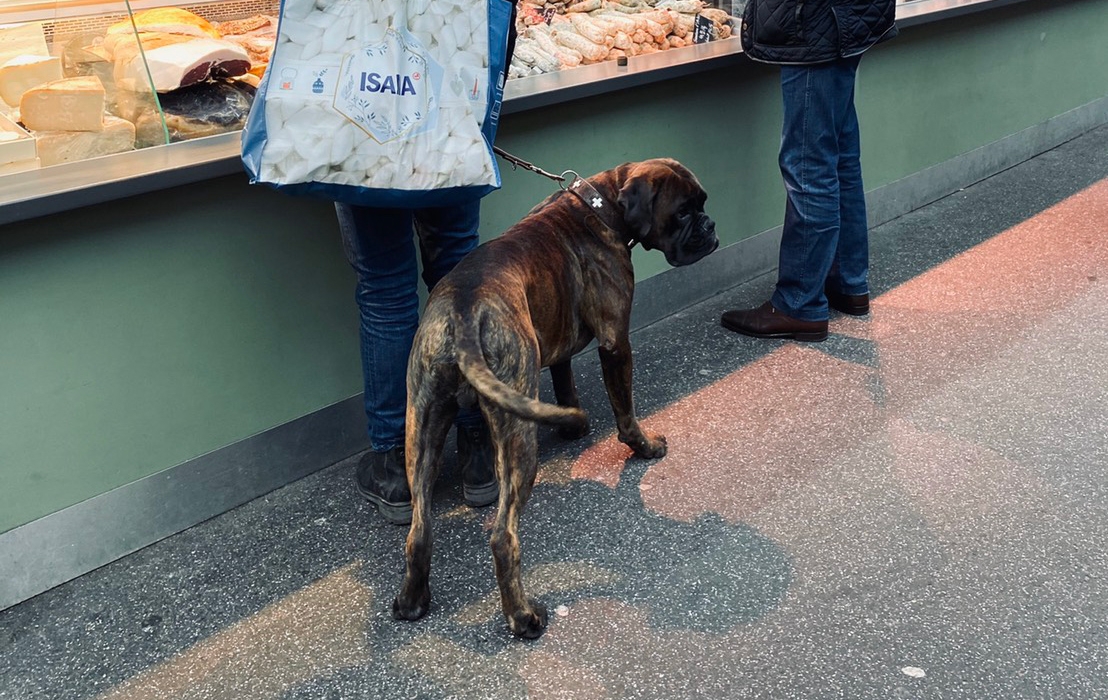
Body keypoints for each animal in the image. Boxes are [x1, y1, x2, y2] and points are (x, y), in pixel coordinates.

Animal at [392, 158, 717, 637]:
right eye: (682, 212)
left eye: (702, 204)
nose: (709, 226)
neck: (600, 206)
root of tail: (463, 312)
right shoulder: (616, 343)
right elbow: (625, 410)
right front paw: (643, 446)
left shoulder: (557, 336)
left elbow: (565, 380)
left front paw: (573, 424)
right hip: (516, 443)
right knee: (503, 536)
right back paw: (523, 616)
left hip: (422, 427)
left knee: (418, 533)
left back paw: (413, 601)